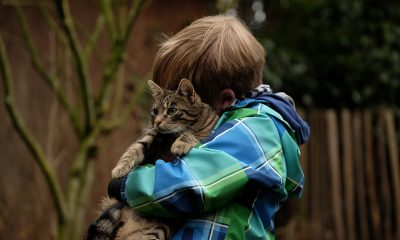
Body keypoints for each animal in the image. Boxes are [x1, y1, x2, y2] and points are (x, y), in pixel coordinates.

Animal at [86, 79, 219, 240]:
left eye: (172, 110)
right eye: (155, 111)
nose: (157, 122)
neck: (170, 136)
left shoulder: (205, 131)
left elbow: (191, 133)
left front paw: (180, 144)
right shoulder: (150, 135)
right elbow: (133, 150)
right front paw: (119, 169)